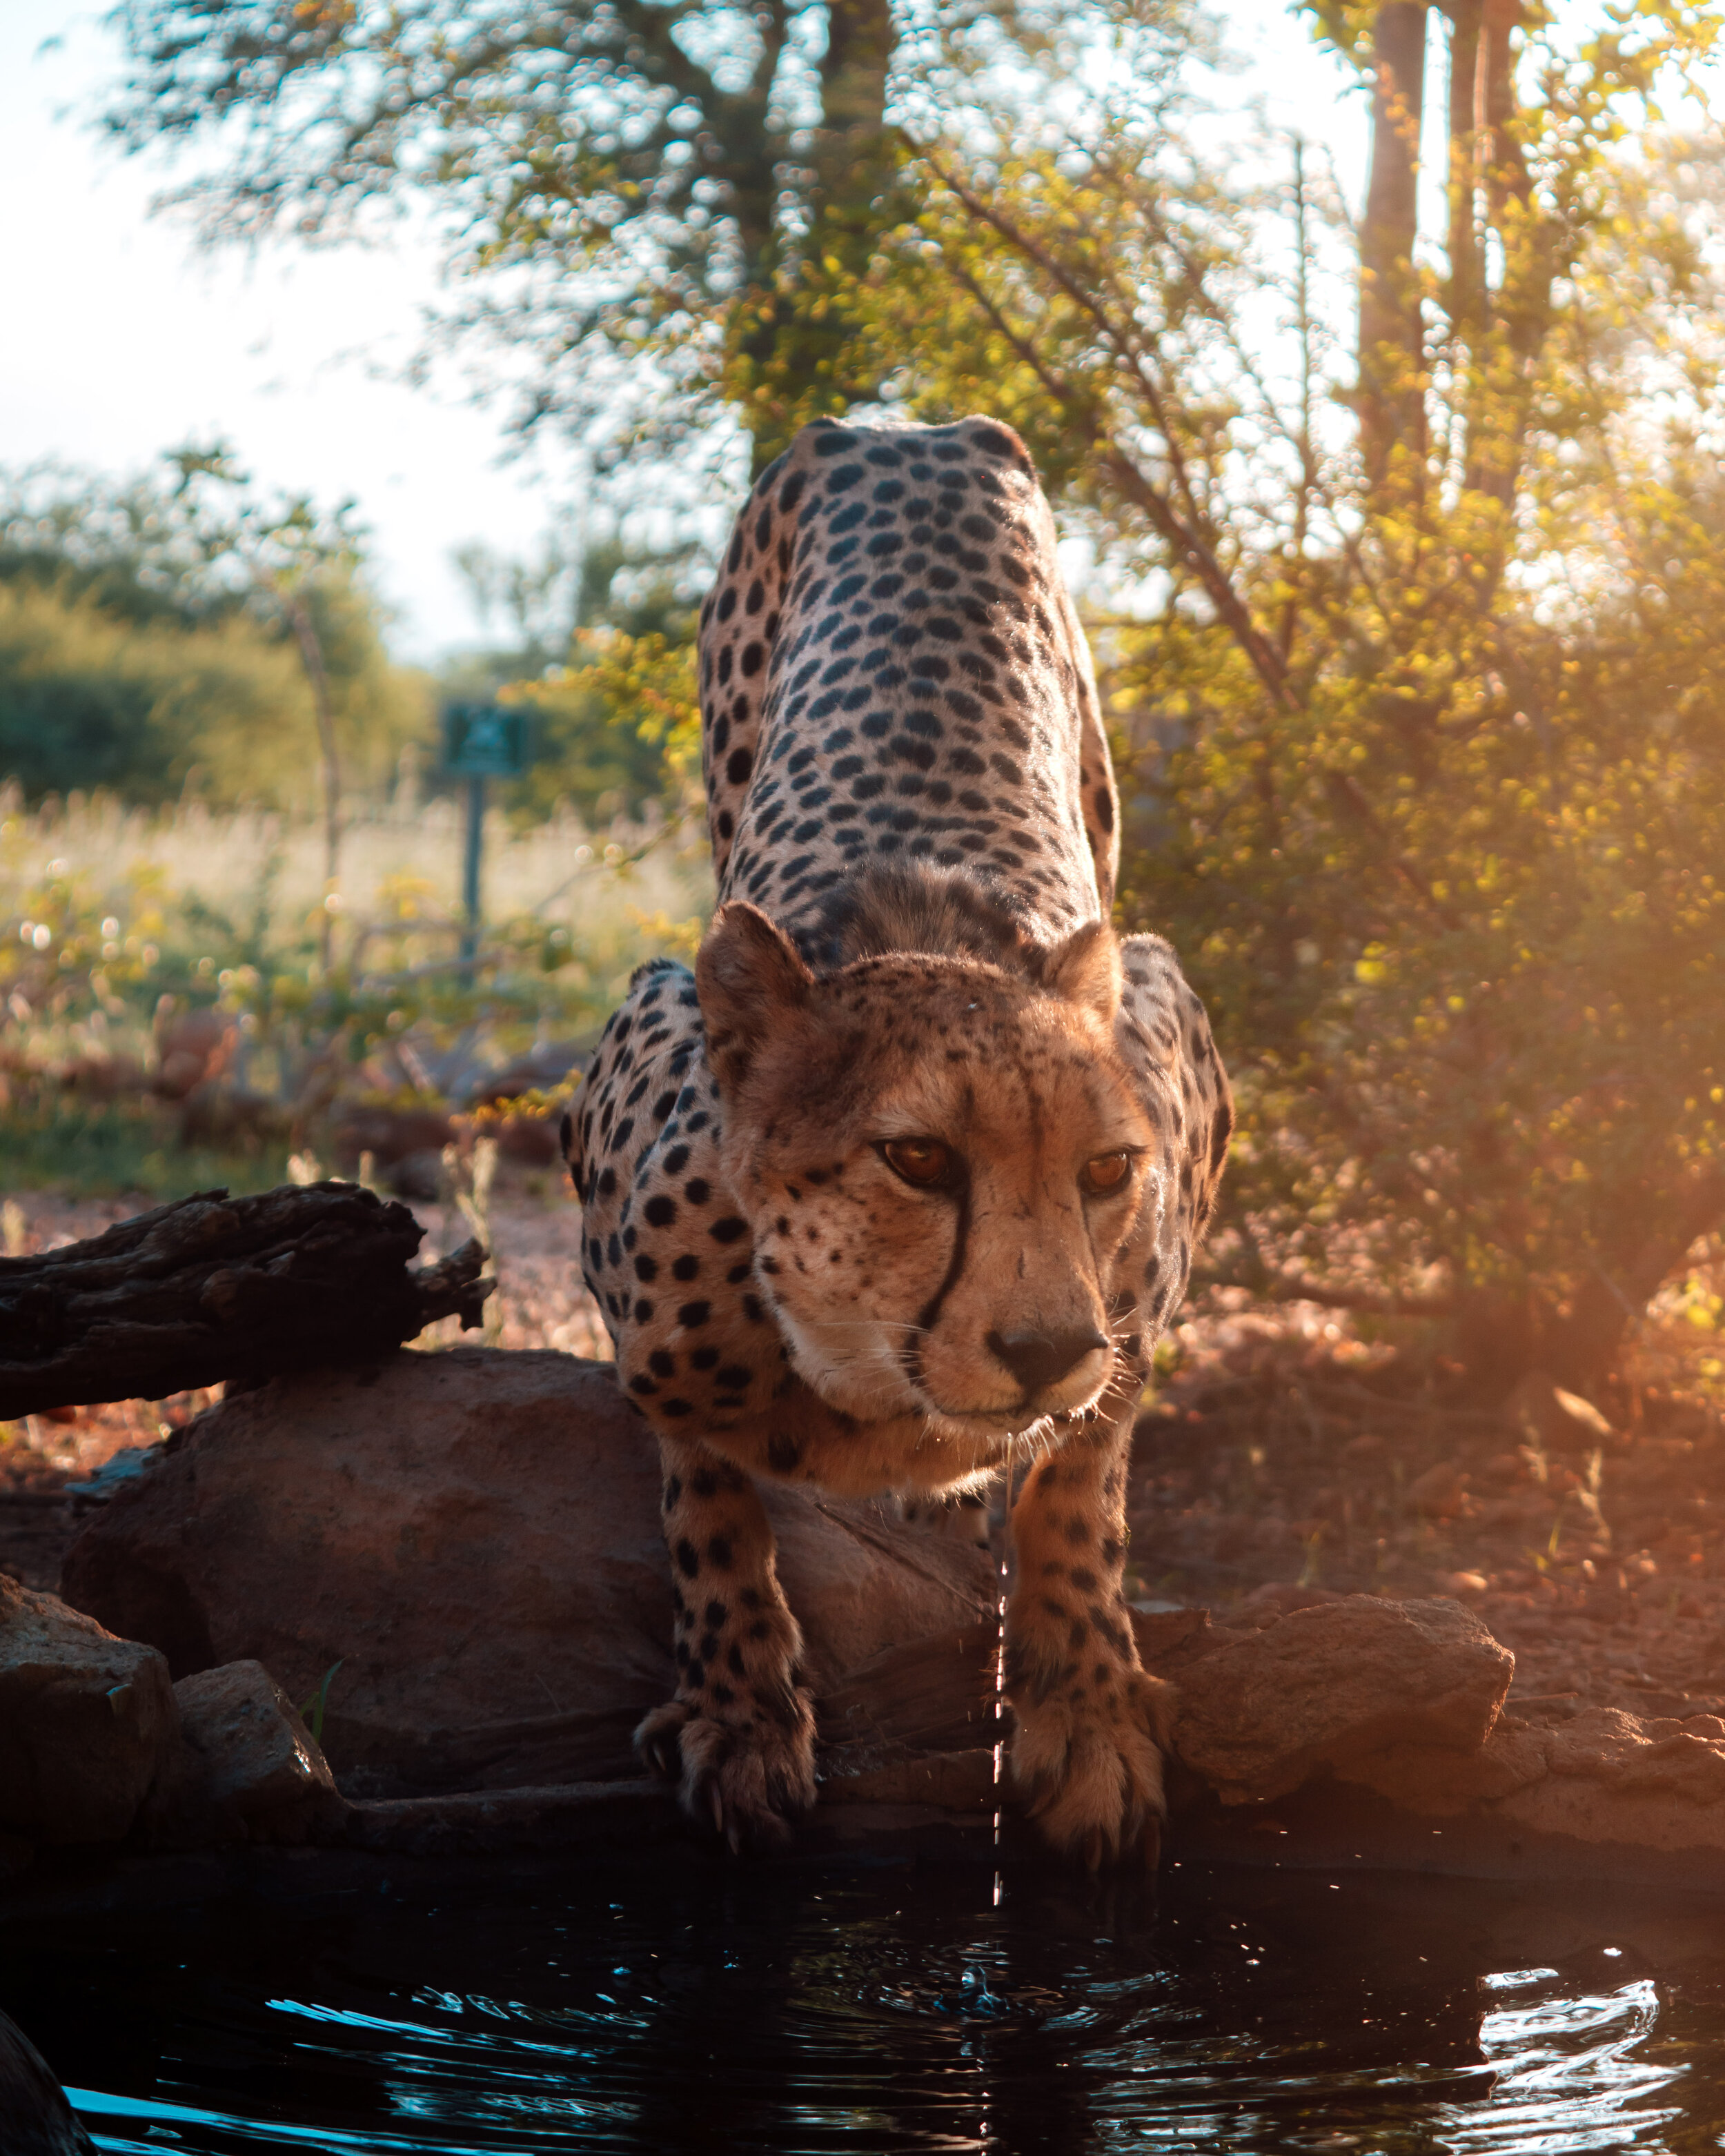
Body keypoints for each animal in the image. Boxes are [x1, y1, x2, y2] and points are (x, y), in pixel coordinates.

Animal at [563, 414, 1233, 1867]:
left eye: (1108, 1171)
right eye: (918, 1160)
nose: (1043, 1348)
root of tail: (906, 427)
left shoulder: (1154, 1188)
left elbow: (1084, 1474)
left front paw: (1085, 1702)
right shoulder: (640, 1080)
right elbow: (701, 1486)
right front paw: (740, 1710)